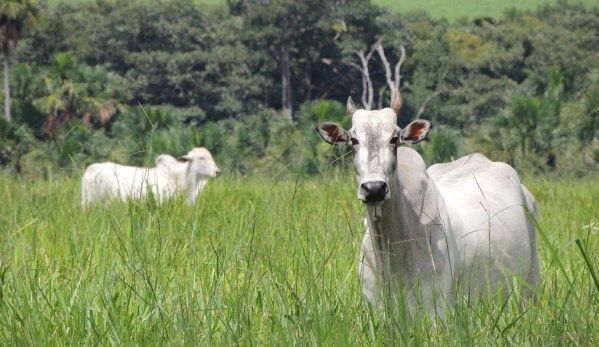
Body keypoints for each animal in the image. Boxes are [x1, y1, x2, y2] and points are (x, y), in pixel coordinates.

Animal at [316, 90, 540, 318]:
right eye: (353, 140)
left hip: (530, 285)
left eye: (394, 139)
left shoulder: (436, 308)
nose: (374, 188)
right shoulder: (375, 306)